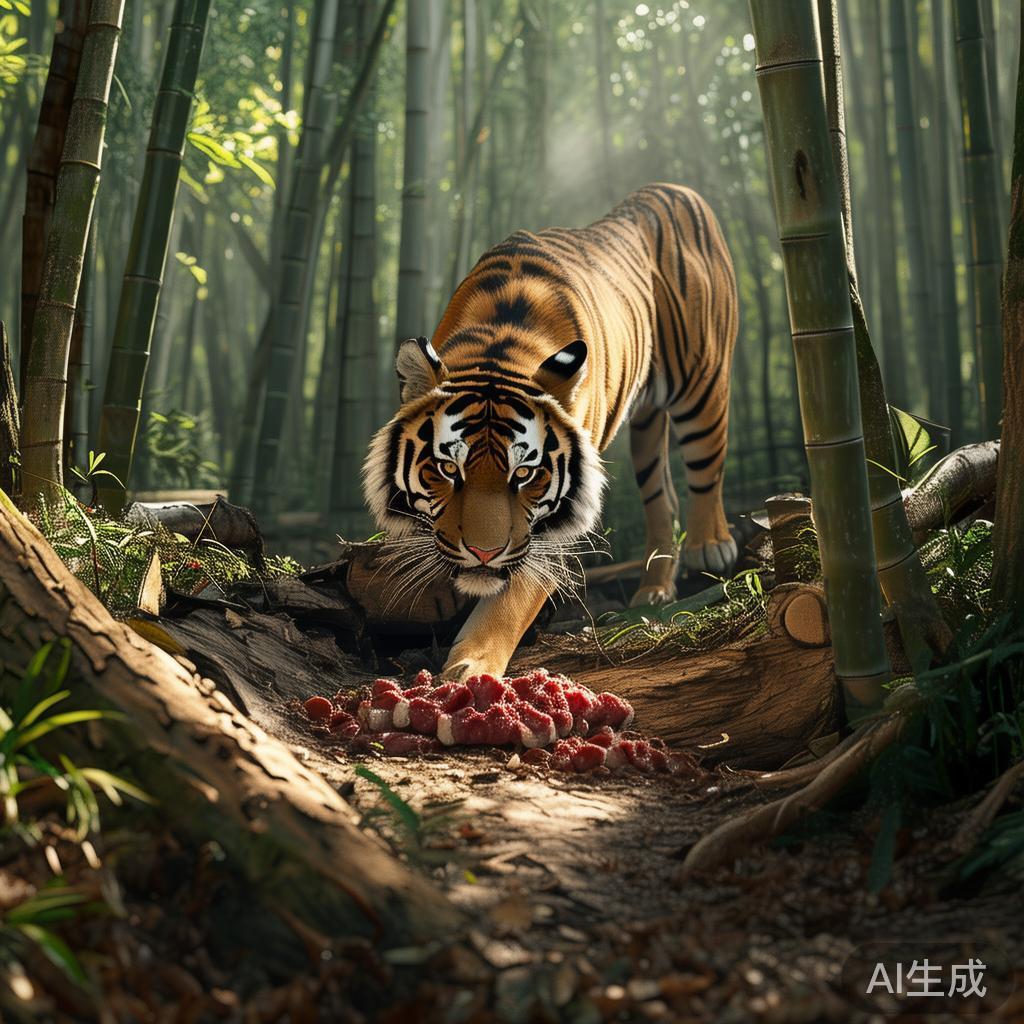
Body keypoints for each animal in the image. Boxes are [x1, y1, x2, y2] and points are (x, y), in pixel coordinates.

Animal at [364, 183, 739, 682]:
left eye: (525, 474)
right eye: (447, 469)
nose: (483, 553)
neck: (499, 343)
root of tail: (672, 187)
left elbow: (517, 593)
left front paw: (473, 664)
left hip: (703, 378)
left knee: (706, 464)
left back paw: (710, 545)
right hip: (646, 426)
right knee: (663, 496)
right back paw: (654, 590)